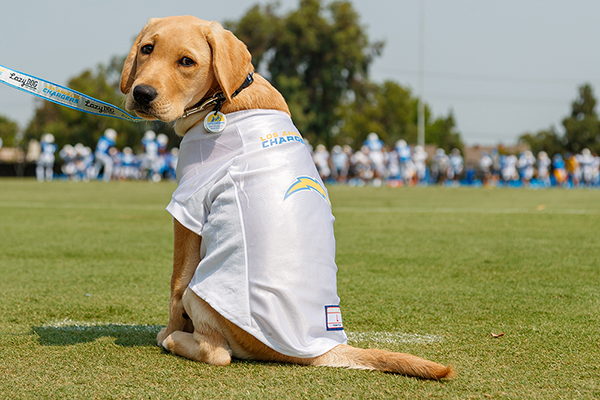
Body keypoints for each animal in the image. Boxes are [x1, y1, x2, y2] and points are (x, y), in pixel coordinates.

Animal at [119, 15, 452, 380]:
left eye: (187, 62)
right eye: (147, 48)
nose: (142, 93)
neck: (223, 101)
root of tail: (315, 350)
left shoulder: (188, 207)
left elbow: (175, 284)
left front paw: (168, 329)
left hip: (201, 291)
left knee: (217, 351)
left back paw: (175, 339)